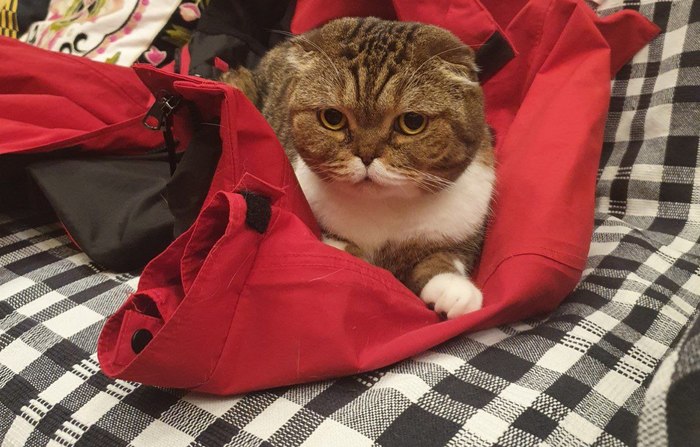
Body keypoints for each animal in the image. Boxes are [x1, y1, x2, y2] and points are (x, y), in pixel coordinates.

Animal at [221, 17, 495, 319]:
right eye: (332, 117)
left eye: (412, 122)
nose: (366, 155)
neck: (384, 209)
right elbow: (346, 252)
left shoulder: (462, 226)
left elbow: (446, 256)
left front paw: (454, 290)